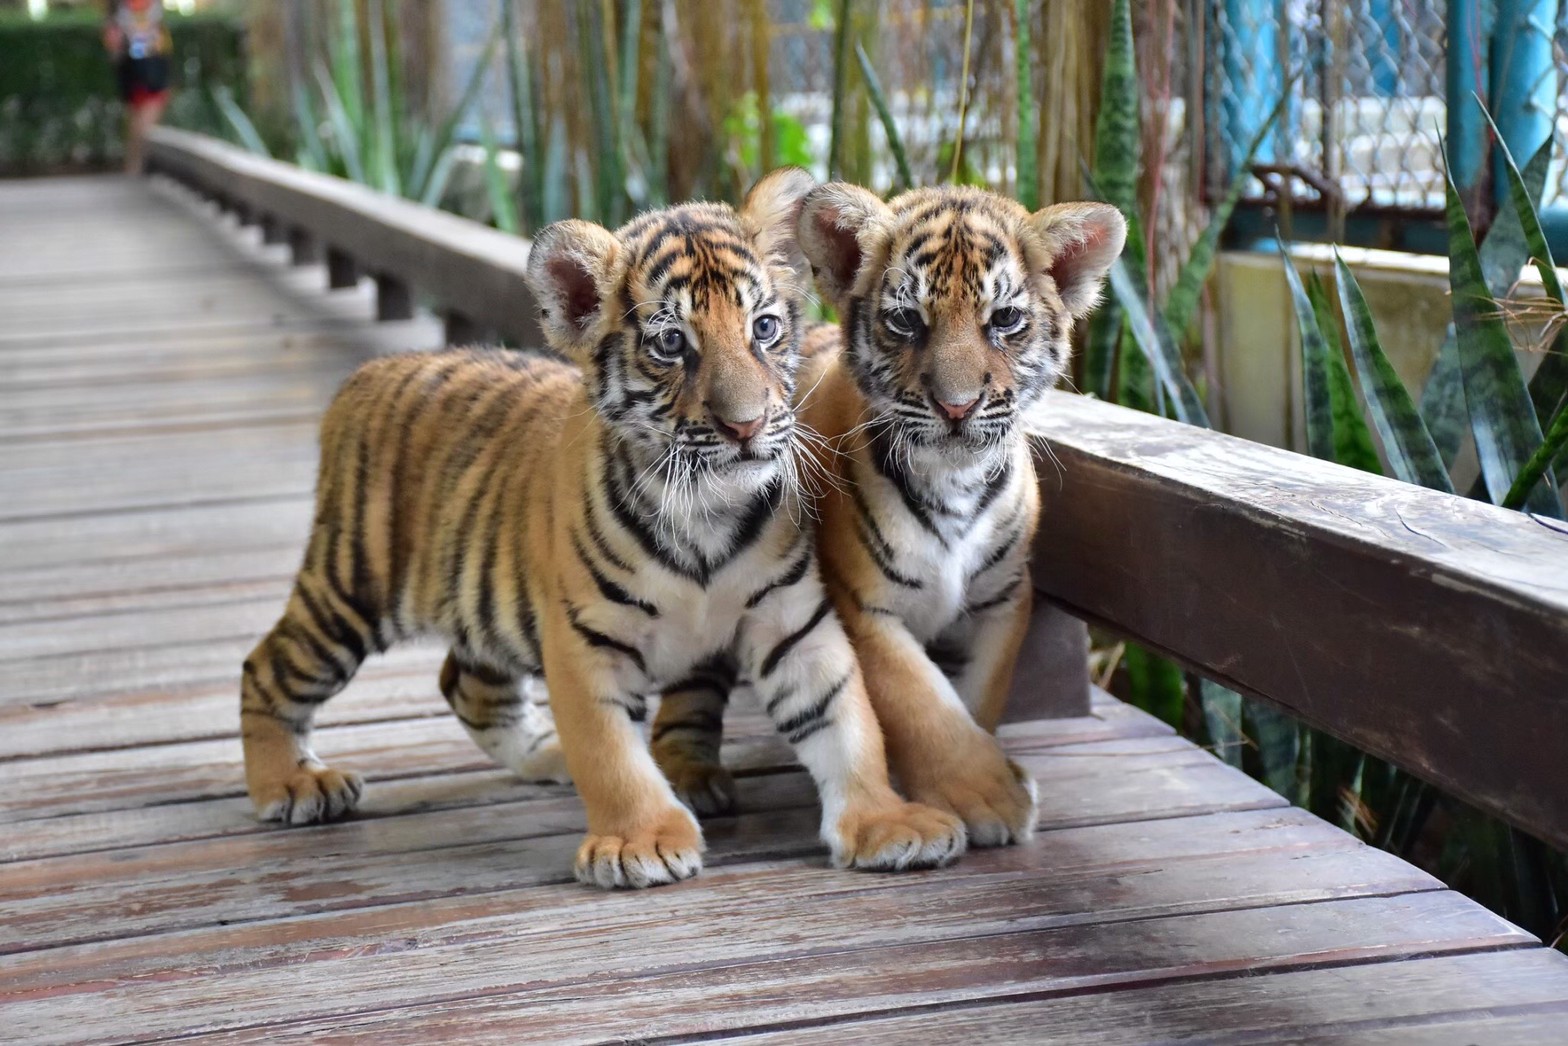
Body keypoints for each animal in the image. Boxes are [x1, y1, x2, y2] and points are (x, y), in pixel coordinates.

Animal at [238, 167, 966, 889]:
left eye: (764, 328)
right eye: (671, 344)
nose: (747, 425)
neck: (707, 514)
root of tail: (364, 375)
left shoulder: (793, 623)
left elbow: (848, 721)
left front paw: (885, 821)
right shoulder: (585, 639)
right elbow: (610, 752)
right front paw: (641, 842)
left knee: (466, 682)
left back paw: (543, 756)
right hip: (350, 591)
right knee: (267, 666)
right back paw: (292, 784)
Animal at [652, 182, 1126, 847]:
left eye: (1004, 320)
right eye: (906, 320)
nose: (957, 407)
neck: (954, 481)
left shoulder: (1003, 599)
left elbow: (976, 699)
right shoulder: (863, 604)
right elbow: (921, 704)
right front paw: (990, 798)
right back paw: (692, 780)